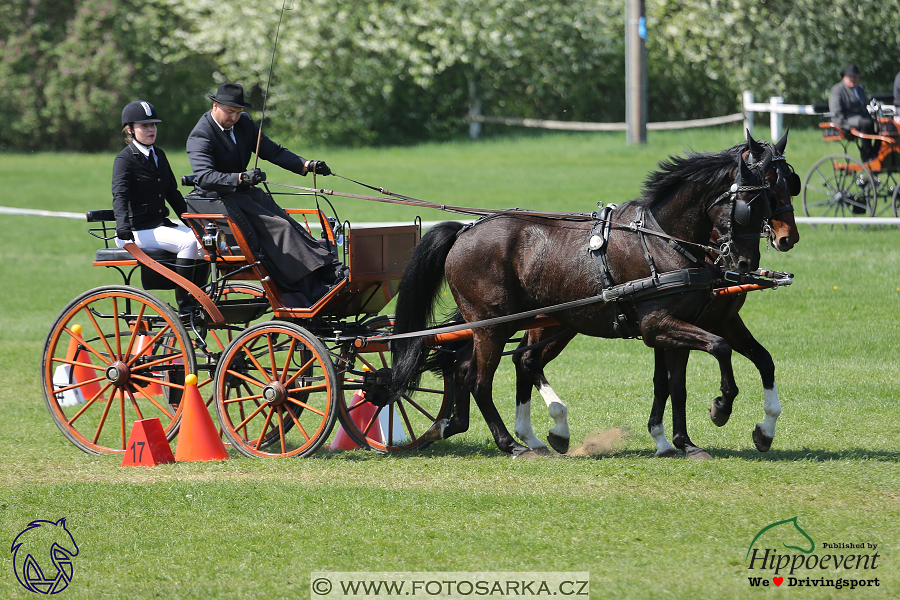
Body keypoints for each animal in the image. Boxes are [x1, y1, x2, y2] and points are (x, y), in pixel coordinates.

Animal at [380, 145, 772, 454]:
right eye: (746, 208)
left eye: (773, 197)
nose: (746, 262)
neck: (662, 240)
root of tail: (465, 230)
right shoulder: (660, 325)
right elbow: (717, 350)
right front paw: (720, 408)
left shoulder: (678, 326)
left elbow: (679, 381)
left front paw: (683, 442)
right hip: (495, 326)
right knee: (481, 378)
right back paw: (511, 443)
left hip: (514, 323)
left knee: (470, 367)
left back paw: (462, 426)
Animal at [506, 132, 800, 460]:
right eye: (768, 189)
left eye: (792, 184)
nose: (788, 238)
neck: (670, 243)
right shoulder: (664, 326)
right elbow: (706, 360)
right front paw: (718, 410)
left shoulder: (716, 322)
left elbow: (754, 362)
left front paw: (760, 430)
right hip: (547, 324)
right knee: (526, 360)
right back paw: (550, 430)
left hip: (559, 324)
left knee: (521, 359)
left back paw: (530, 436)